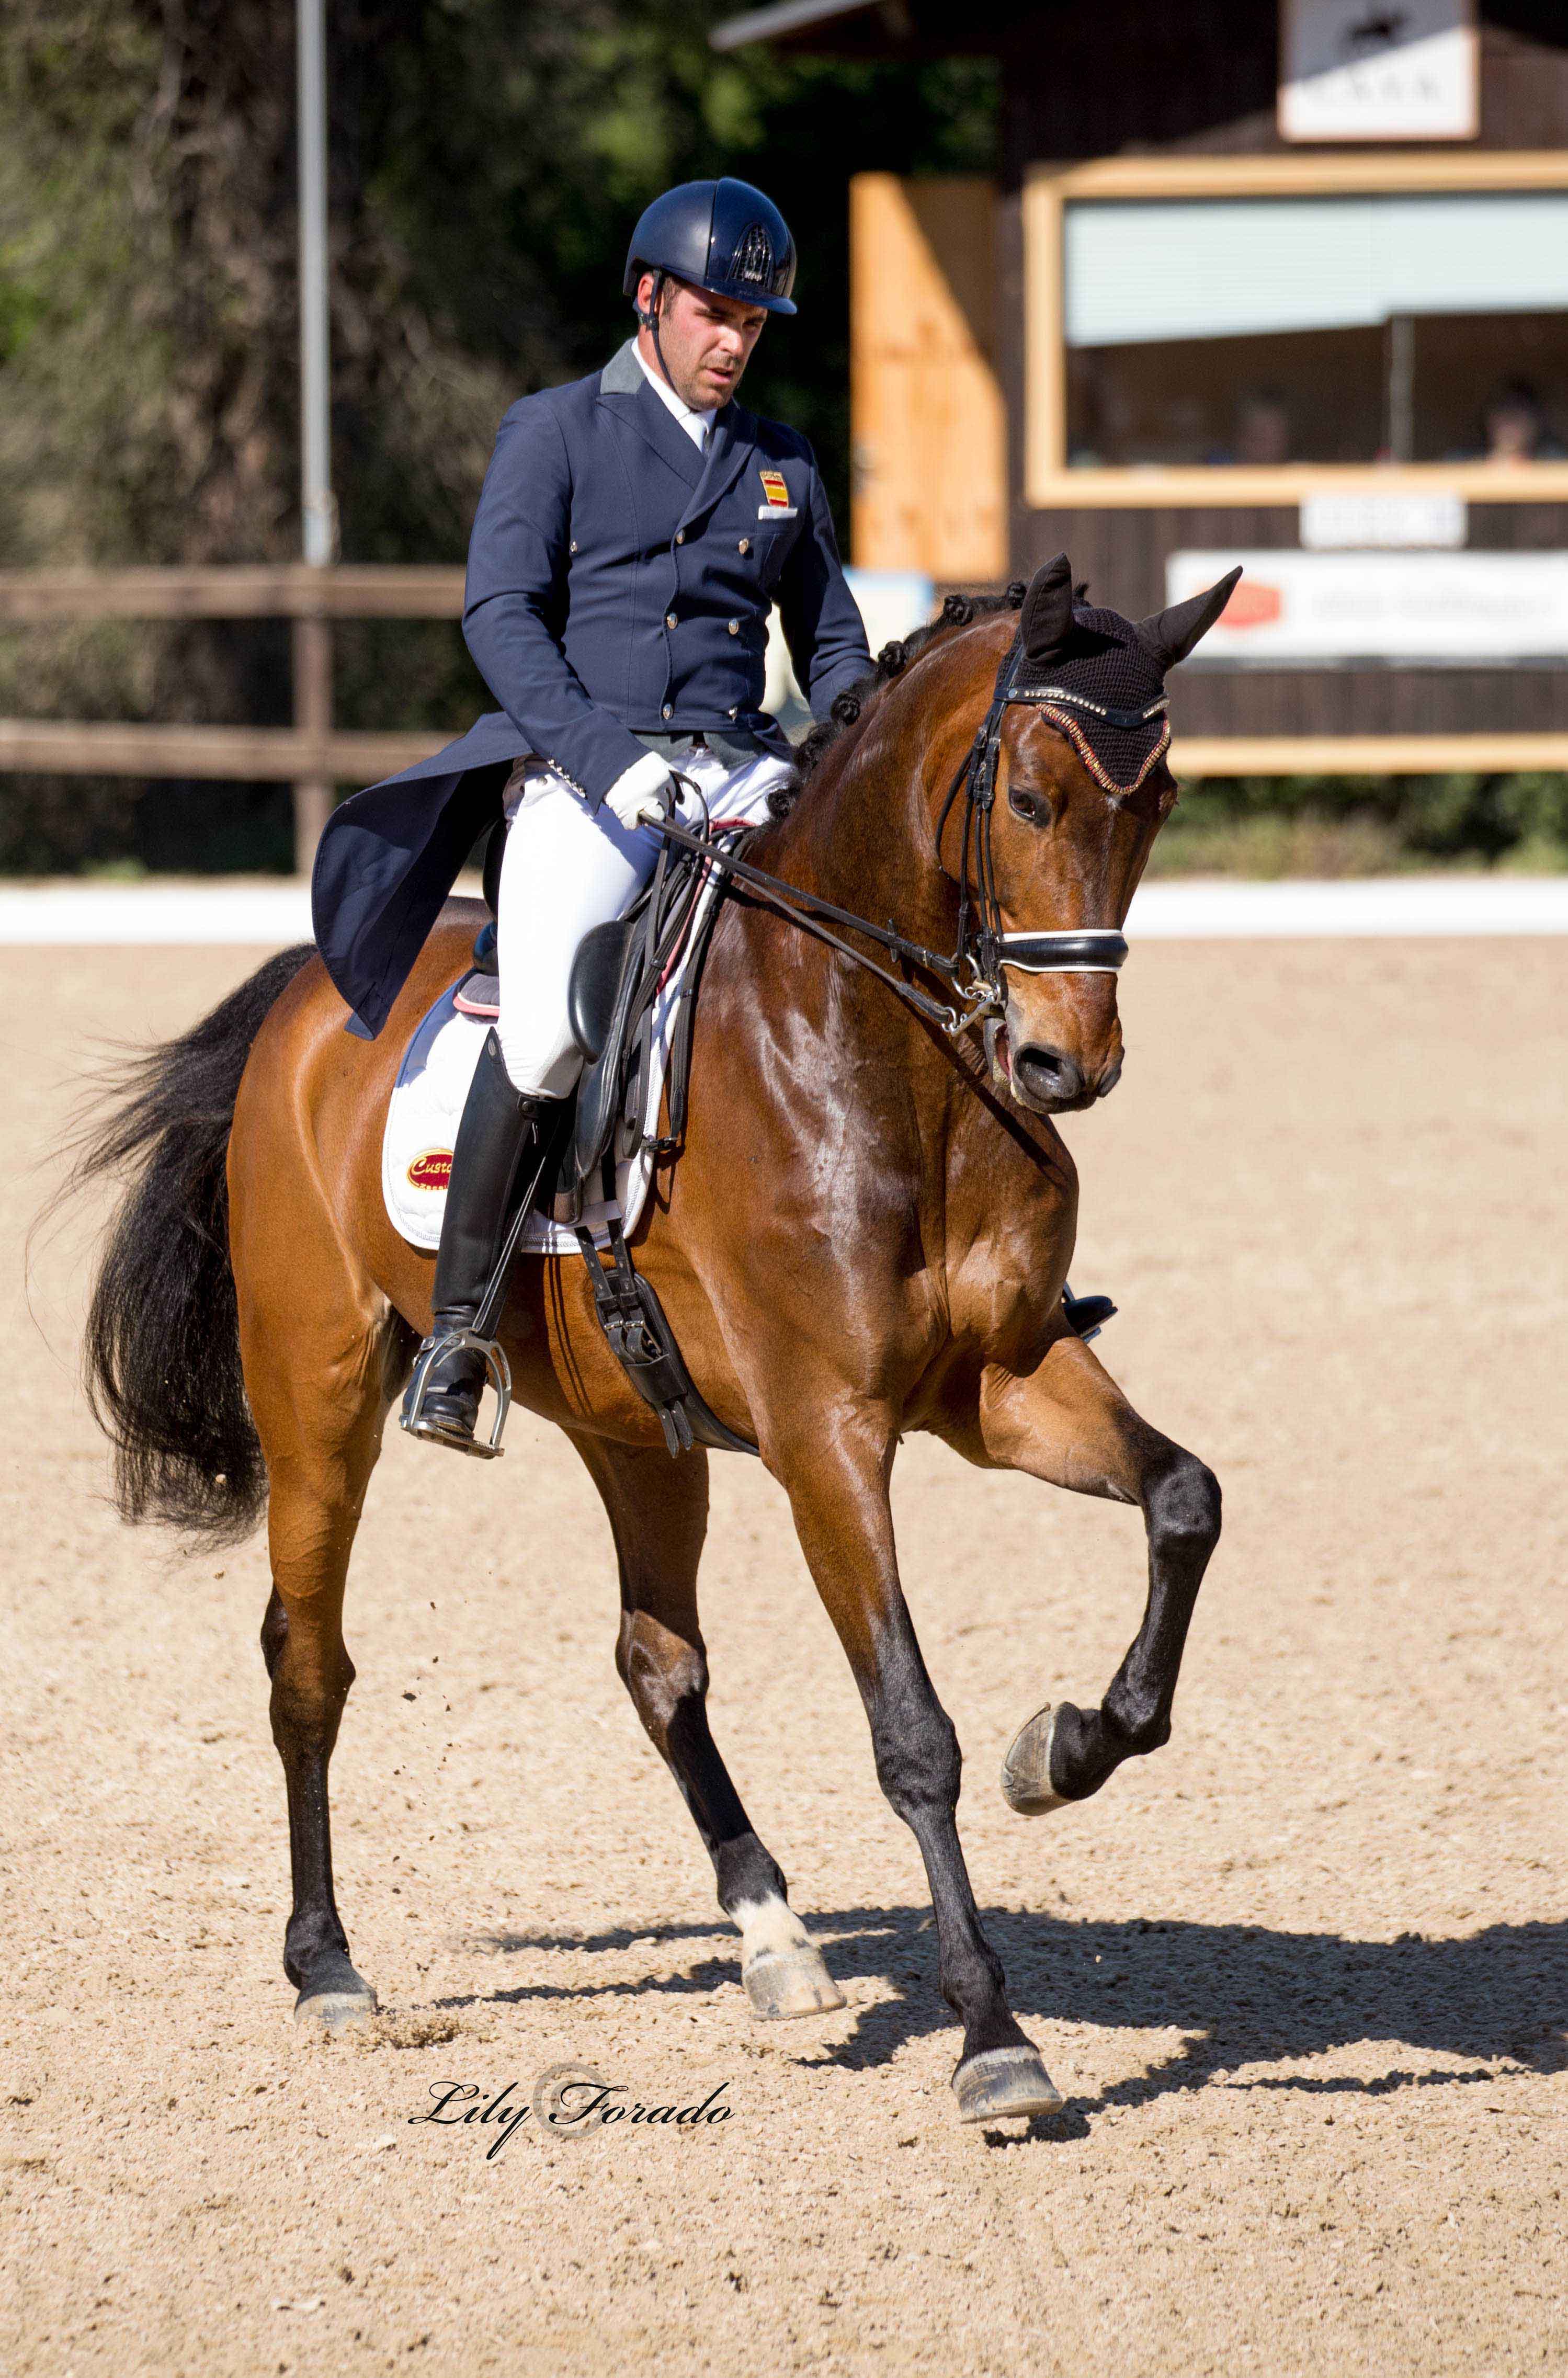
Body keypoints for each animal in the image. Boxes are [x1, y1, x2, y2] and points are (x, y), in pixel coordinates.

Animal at [83, 551, 1237, 2121]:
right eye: (1027, 796)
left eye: (1158, 799)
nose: (1064, 1065)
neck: (877, 1050)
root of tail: (311, 992)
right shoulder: (826, 1434)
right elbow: (909, 1731)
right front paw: (992, 2037)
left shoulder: (998, 1384)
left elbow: (1183, 1499)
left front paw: (1062, 1747)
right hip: (315, 1385)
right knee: (306, 1661)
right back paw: (327, 1968)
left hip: (635, 1421)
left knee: (655, 1658)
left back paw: (775, 1938)